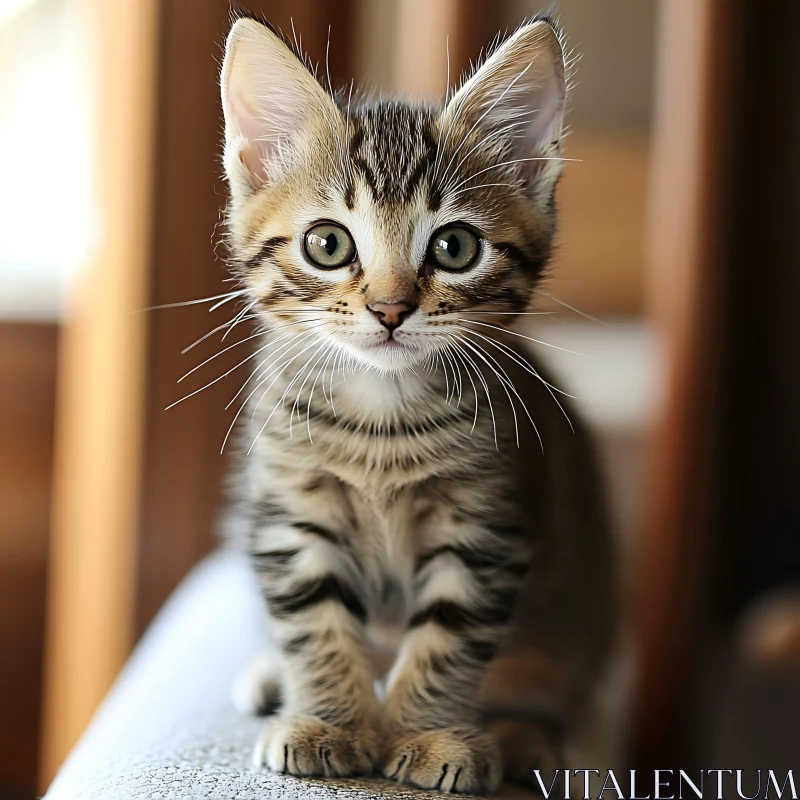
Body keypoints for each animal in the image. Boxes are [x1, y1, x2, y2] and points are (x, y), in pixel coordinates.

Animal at [219, 12, 620, 792]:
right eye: (327, 243)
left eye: (455, 247)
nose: (390, 308)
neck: (382, 415)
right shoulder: (292, 506)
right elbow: (315, 621)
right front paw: (330, 722)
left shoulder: (484, 528)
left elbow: (449, 639)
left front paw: (428, 735)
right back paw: (274, 676)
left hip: (577, 612)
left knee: (548, 686)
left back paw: (522, 738)